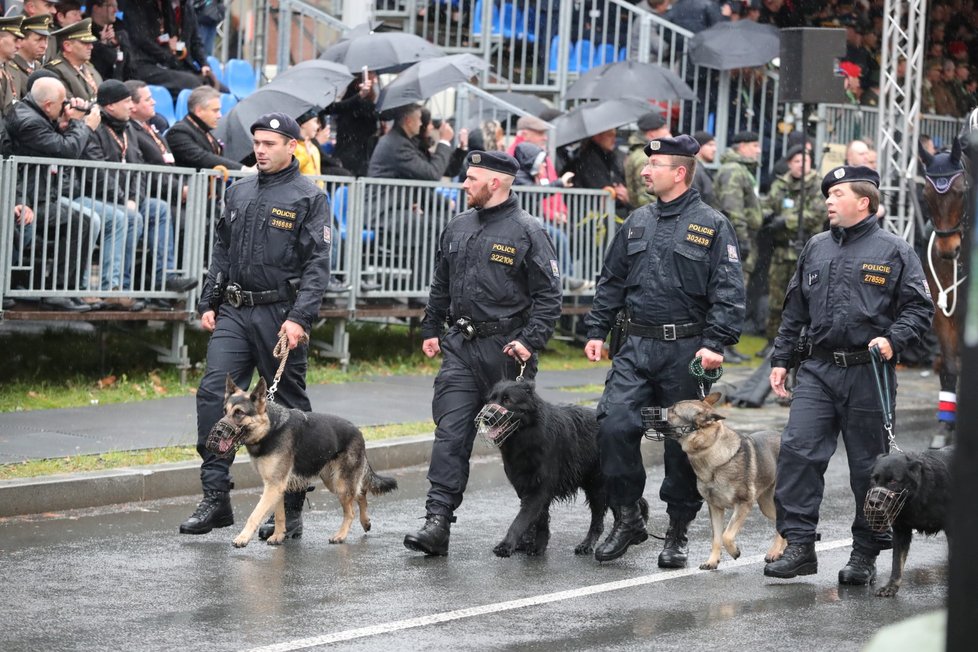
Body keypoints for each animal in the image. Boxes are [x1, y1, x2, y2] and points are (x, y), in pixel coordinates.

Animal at [213, 374, 396, 548]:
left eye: (239, 413)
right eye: (224, 411)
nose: (219, 431)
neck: (270, 428)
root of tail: (358, 431)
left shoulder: (273, 486)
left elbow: (255, 514)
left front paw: (242, 538)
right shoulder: (276, 486)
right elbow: (279, 515)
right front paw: (278, 536)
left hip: (341, 484)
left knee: (350, 511)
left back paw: (341, 535)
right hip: (333, 481)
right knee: (361, 493)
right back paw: (366, 522)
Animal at [474, 380, 644, 556]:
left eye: (507, 400)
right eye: (490, 400)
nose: (486, 418)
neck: (527, 433)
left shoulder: (539, 489)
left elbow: (521, 519)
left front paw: (507, 545)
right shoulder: (526, 487)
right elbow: (538, 519)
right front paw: (538, 545)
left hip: (598, 488)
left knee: (601, 520)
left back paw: (596, 543)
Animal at [648, 392, 784, 572]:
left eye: (673, 411)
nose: (649, 410)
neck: (710, 449)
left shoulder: (743, 505)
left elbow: (726, 535)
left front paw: (734, 551)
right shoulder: (715, 507)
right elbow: (717, 538)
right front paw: (712, 561)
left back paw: (776, 553)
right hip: (766, 505)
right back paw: (780, 551)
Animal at [864, 448, 948, 596]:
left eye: (893, 481)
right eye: (874, 479)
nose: (873, 502)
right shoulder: (900, 531)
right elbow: (897, 562)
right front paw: (891, 586)